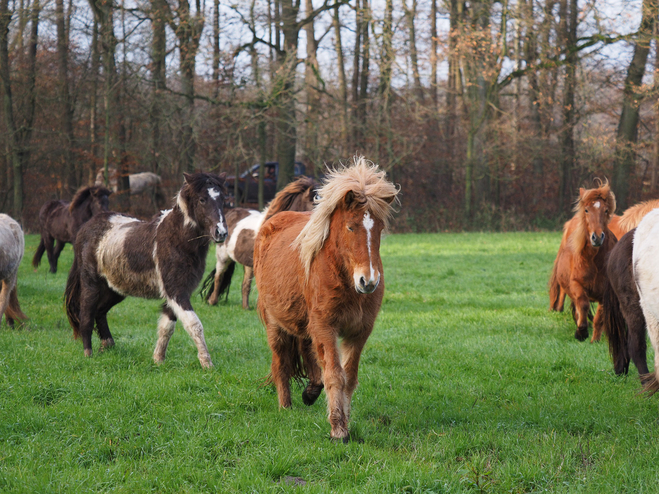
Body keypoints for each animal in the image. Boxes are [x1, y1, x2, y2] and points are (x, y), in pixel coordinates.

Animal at [65, 172, 229, 368]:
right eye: (202, 199)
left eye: (223, 199)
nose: (221, 233)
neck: (177, 239)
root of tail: (85, 228)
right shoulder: (176, 292)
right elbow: (194, 324)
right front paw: (207, 364)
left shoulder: (176, 292)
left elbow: (167, 327)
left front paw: (158, 360)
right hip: (91, 283)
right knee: (87, 316)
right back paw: (88, 354)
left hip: (114, 288)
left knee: (100, 312)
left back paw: (108, 346)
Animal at [201, 176, 318, 308]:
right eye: (315, 202)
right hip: (223, 256)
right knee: (219, 277)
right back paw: (212, 302)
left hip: (248, 265)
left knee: (245, 284)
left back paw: (246, 307)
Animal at [254, 158, 400, 440]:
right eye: (350, 226)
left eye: (379, 228)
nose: (368, 281)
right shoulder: (325, 326)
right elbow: (334, 375)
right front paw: (338, 429)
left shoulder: (359, 331)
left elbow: (349, 378)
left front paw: (344, 419)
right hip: (275, 326)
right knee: (281, 364)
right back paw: (286, 406)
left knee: (307, 351)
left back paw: (310, 392)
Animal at [548, 183, 620, 342]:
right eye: (587, 210)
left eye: (606, 210)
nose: (597, 237)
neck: (594, 261)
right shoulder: (576, 285)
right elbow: (583, 304)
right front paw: (581, 332)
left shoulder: (604, 294)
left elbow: (599, 318)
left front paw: (595, 340)